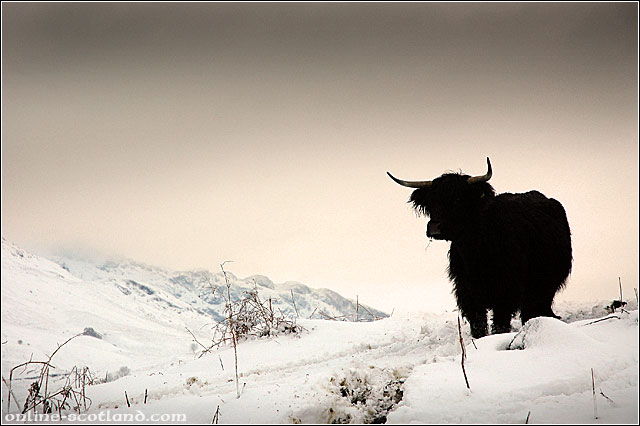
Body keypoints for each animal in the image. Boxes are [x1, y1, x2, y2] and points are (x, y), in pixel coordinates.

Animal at [387, 158, 572, 338]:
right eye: (432, 202)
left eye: (458, 199)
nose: (434, 227)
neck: (475, 251)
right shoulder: (467, 291)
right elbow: (478, 322)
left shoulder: (506, 289)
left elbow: (500, 322)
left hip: (546, 282)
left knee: (536, 308)